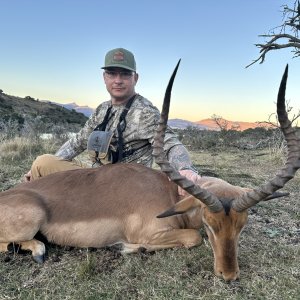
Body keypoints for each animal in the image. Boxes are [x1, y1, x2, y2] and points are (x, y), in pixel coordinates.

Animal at [0, 62, 298, 282]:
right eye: (209, 224)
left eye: (242, 224)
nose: (229, 275)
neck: (169, 195)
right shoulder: (155, 233)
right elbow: (192, 238)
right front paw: (126, 247)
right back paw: (38, 251)